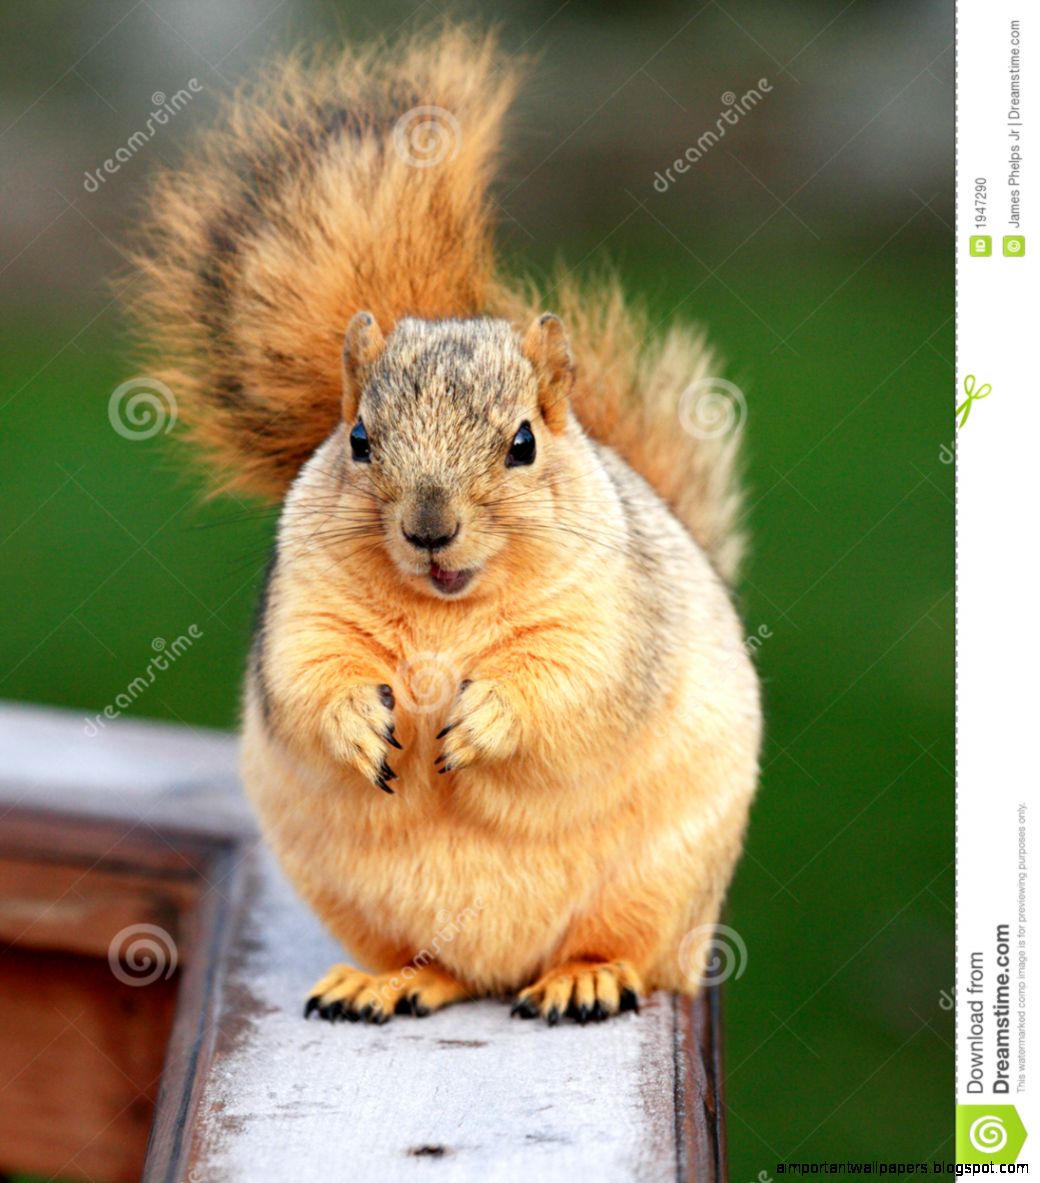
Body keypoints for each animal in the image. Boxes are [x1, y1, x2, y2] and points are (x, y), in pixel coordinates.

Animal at [129, 27, 761, 1026]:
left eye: (524, 442)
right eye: (357, 439)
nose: (430, 527)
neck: (445, 615)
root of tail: (507, 962)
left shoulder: (611, 618)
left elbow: (572, 686)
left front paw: (487, 715)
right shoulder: (304, 606)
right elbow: (307, 676)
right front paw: (357, 719)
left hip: (660, 886)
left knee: (621, 948)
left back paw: (584, 976)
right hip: (365, 902)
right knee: (444, 969)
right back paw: (388, 982)